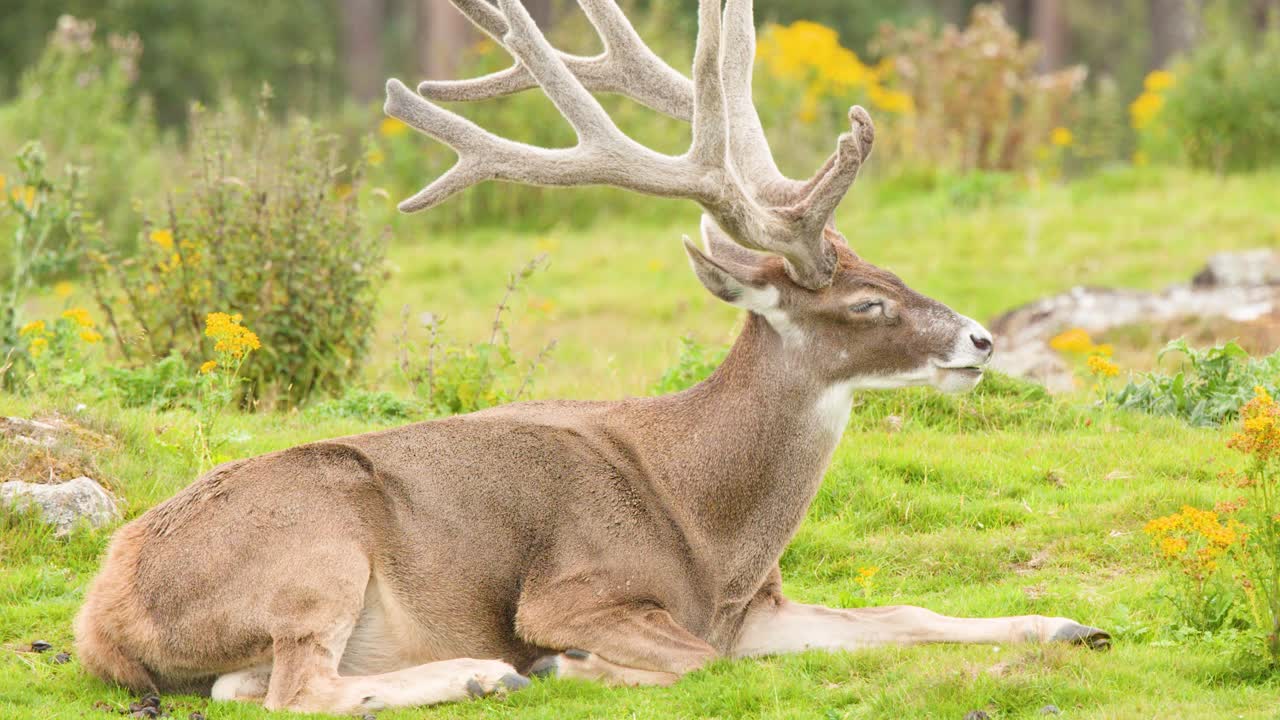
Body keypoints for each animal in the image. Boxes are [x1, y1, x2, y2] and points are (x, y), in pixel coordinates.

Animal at [74, 0, 1110, 713]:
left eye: (893, 271)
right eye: (867, 303)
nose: (981, 338)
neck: (712, 534)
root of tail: (101, 613)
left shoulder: (761, 607)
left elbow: (905, 618)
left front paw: (1070, 621)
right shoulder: (573, 588)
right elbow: (693, 659)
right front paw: (568, 666)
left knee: (245, 688)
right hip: (313, 547)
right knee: (297, 689)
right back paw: (488, 674)